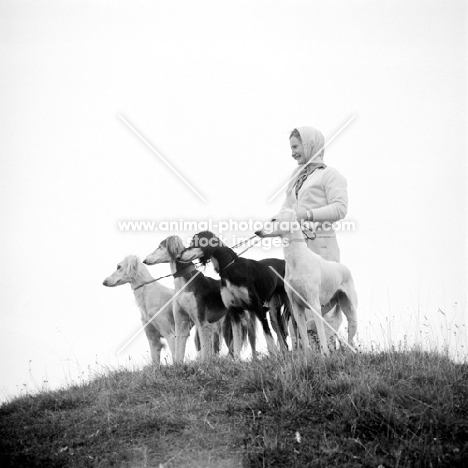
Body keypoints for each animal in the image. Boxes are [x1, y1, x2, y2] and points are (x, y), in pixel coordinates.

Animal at [254, 208, 356, 354]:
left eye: (273, 219)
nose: (257, 232)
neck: (297, 260)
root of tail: (344, 267)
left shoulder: (314, 305)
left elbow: (320, 335)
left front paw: (324, 354)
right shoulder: (296, 307)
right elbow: (303, 335)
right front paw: (308, 355)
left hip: (350, 312)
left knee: (349, 337)